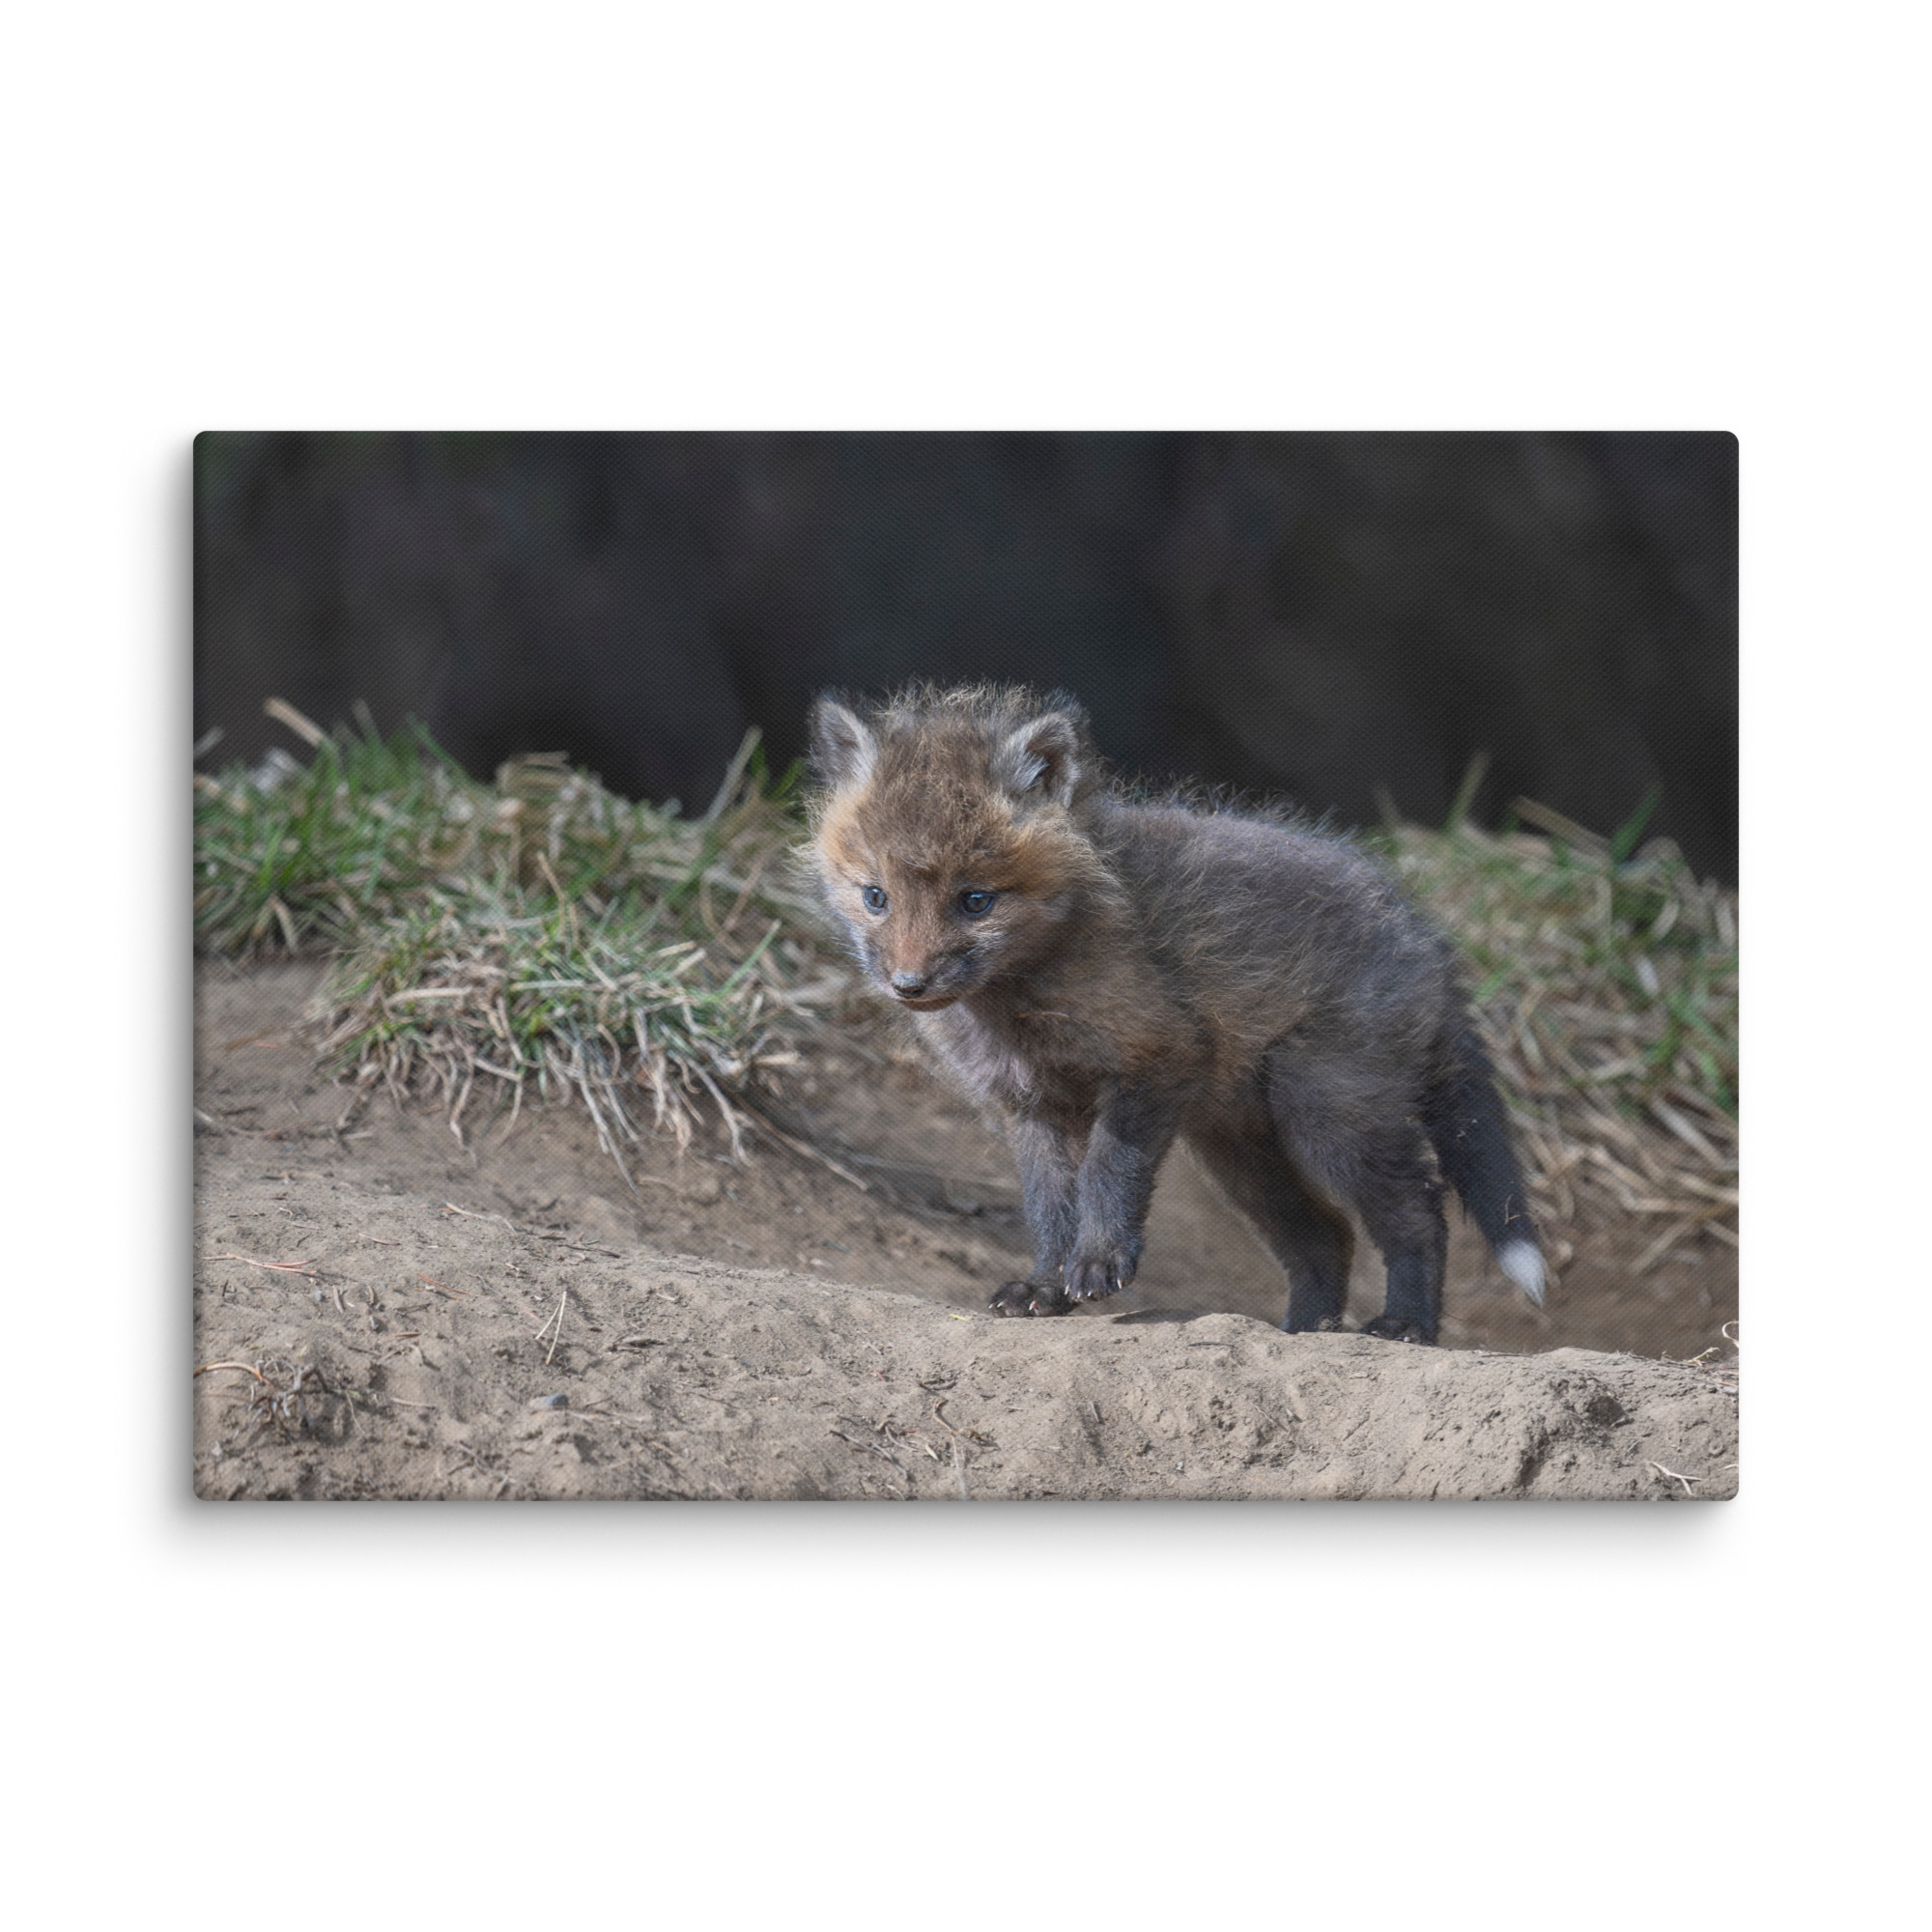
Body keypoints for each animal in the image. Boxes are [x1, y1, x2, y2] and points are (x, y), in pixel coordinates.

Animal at [805, 684, 1546, 1344]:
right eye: (875, 897)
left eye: (975, 900)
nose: (908, 985)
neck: (1019, 1006)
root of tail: (1427, 937)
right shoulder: (1030, 1105)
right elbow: (1048, 1207)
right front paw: (1045, 1286)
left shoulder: (1155, 1056)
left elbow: (1108, 1172)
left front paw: (1099, 1262)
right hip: (1241, 1151)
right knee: (1326, 1236)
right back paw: (1304, 1331)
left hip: (1328, 1114)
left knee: (1419, 1213)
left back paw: (1405, 1324)